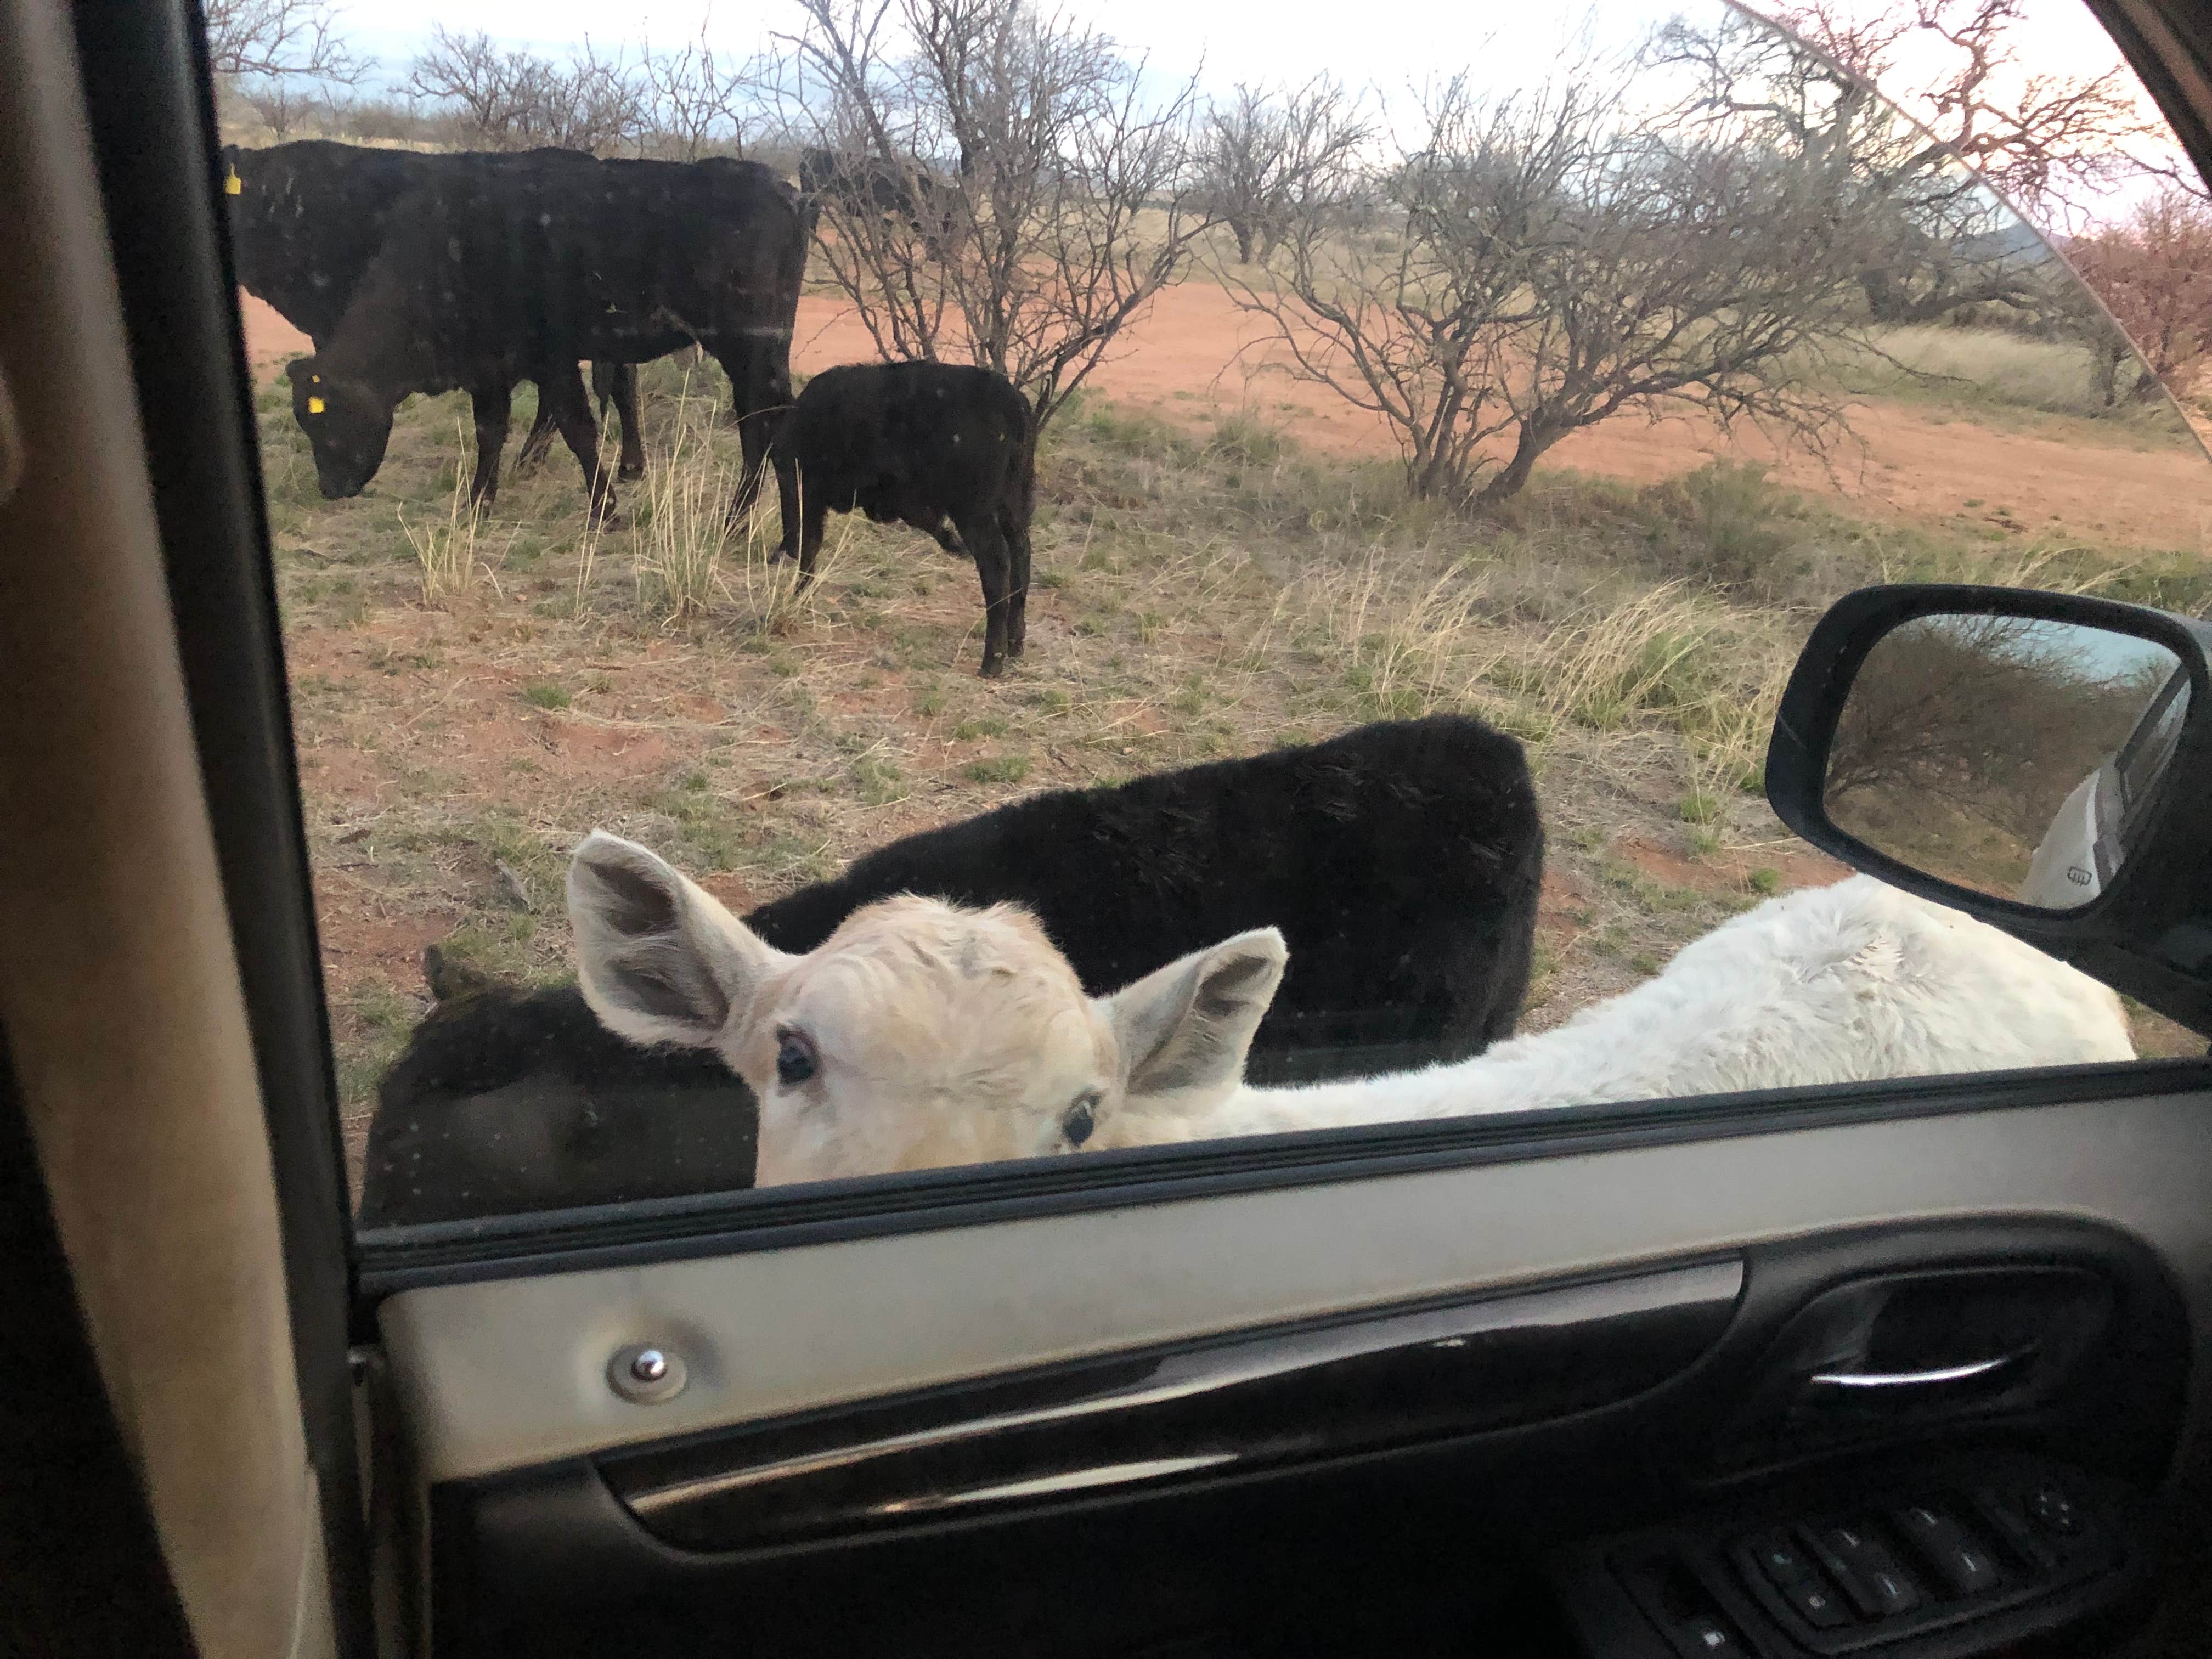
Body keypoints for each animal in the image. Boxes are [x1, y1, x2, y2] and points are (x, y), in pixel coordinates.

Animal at [274, 157, 796, 522]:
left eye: (328, 420)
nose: (330, 488)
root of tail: (783, 190)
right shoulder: (488, 370)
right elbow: (491, 432)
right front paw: (478, 504)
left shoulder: (553, 361)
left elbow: (577, 429)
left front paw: (606, 510)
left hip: (751, 352)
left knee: (761, 425)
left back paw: (737, 519)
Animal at [774, 363, 1030, 676]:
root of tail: (1011, 402)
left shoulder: (812, 495)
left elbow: (809, 551)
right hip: (1013, 507)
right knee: (1021, 555)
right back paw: (1015, 642)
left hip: (974, 514)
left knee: (996, 566)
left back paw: (992, 661)